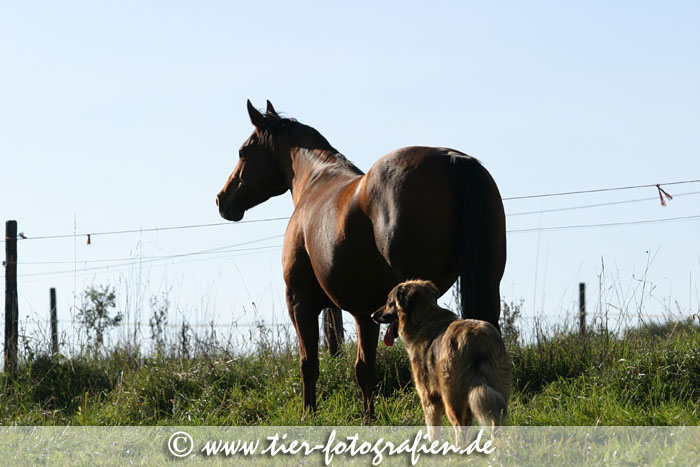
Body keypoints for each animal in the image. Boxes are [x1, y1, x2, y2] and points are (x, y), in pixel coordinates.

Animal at [216, 101, 506, 420]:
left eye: (243, 151)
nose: (221, 200)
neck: (316, 181)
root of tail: (453, 159)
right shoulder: (366, 311)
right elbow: (364, 368)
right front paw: (369, 418)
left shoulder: (301, 302)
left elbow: (311, 364)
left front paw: (311, 415)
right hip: (489, 283)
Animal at [374, 280, 512, 444]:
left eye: (389, 301)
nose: (372, 315)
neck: (423, 319)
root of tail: (478, 338)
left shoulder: (429, 399)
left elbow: (433, 431)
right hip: (496, 392)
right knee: (495, 424)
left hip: (451, 398)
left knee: (460, 426)